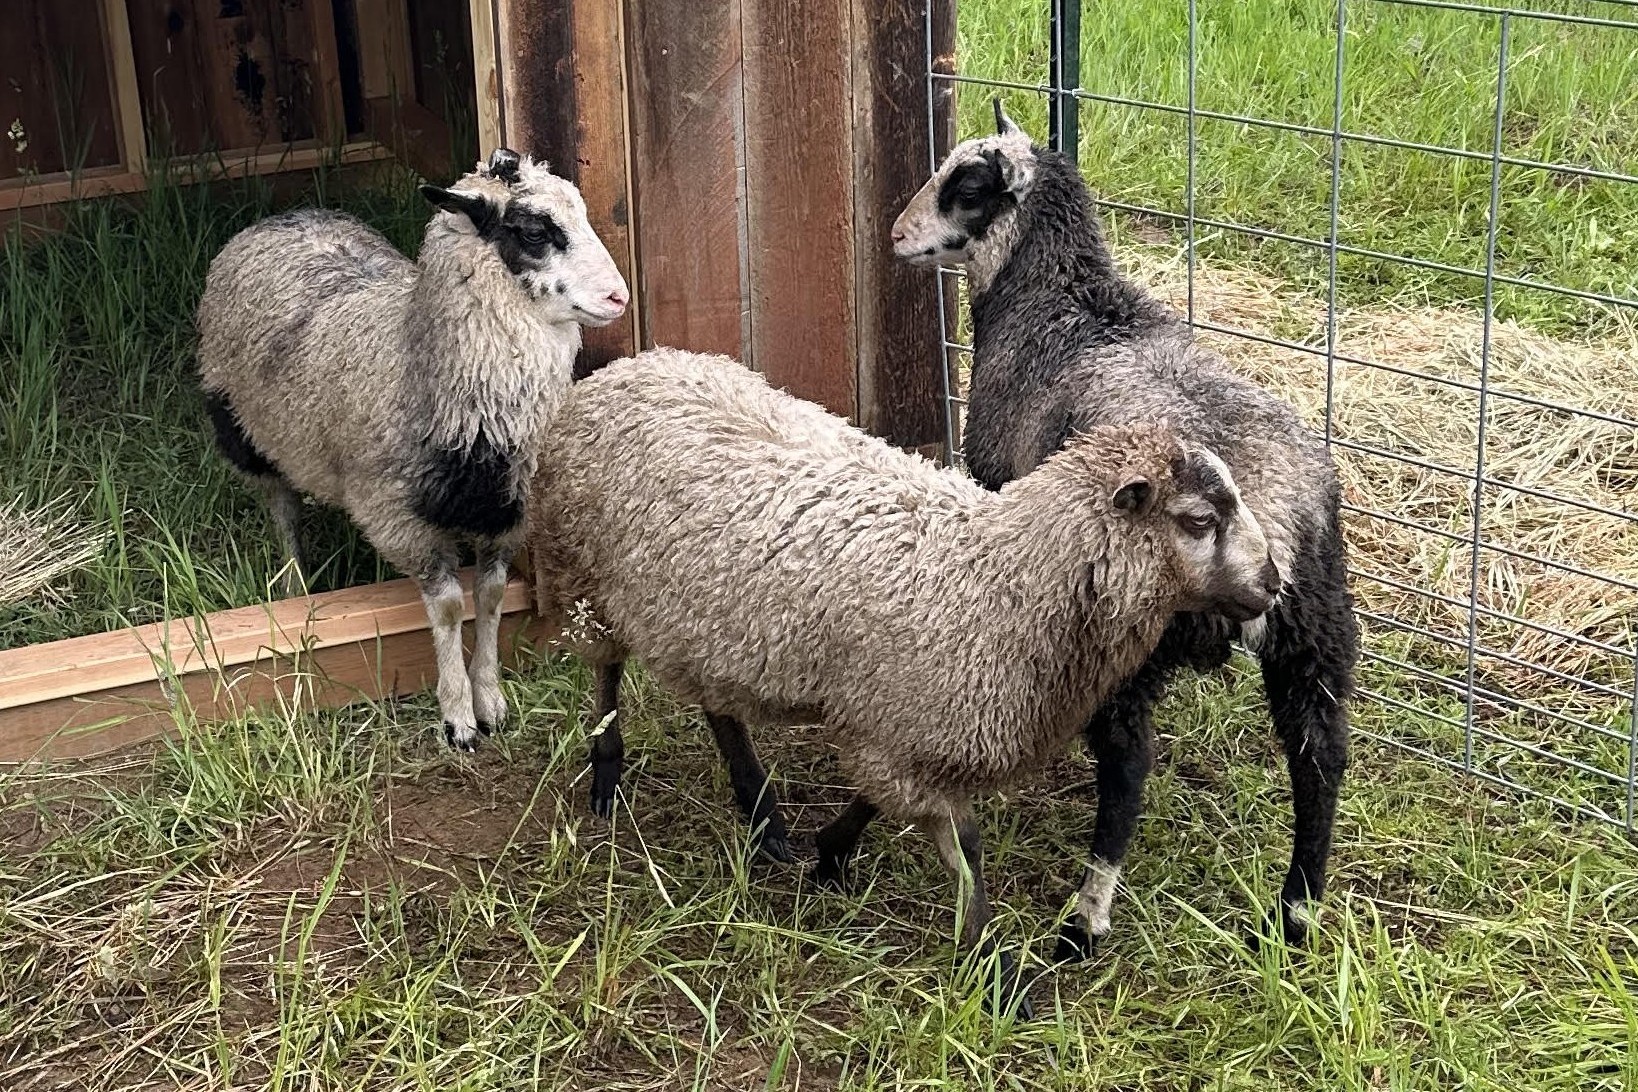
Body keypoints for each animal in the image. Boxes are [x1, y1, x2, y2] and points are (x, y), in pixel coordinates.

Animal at [197, 148, 629, 752]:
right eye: (533, 231)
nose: (618, 297)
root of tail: (285, 215)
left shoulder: (505, 511)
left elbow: (491, 598)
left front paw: (491, 700)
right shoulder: (402, 518)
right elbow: (447, 609)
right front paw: (459, 719)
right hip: (245, 429)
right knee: (282, 508)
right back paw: (295, 581)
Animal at [532, 347, 1281, 1013]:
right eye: (1199, 520)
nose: (1274, 585)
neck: (1005, 574)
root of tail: (630, 364)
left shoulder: (902, 723)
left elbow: (877, 798)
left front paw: (830, 854)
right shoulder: (905, 723)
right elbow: (965, 846)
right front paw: (992, 970)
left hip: (708, 627)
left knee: (719, 706)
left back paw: (761, 813)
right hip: (583, 570)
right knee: (605, 670)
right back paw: (608, 771)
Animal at [889, 101, 1358, 959]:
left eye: (965, 188)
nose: (895, 235)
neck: (1062, 301)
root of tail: (1262, 517)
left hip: (1133, 628)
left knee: (1130, 767)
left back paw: (1085, 917)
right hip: (1319, 626)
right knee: (1321, 760)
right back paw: (1295, 916)